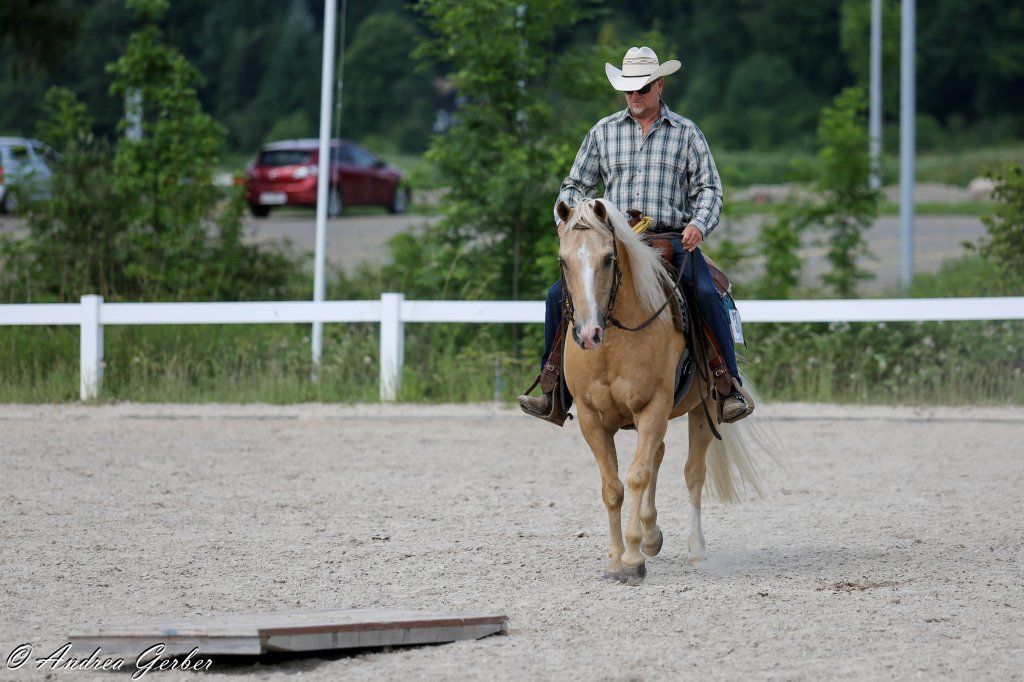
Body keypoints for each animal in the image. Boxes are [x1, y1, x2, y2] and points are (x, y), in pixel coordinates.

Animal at [556, 197, 776, 585]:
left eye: (608, 258)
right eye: (563, 261)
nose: (587, 333)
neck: (614, 342)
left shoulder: (653, 407)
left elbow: (637, 475)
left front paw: (631, 560)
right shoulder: (591, 419)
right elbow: (612, 487)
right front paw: (615, 560)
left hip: (703, 409)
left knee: (692, 473)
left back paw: (695, 549)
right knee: (657, 456)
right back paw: (651, 536)